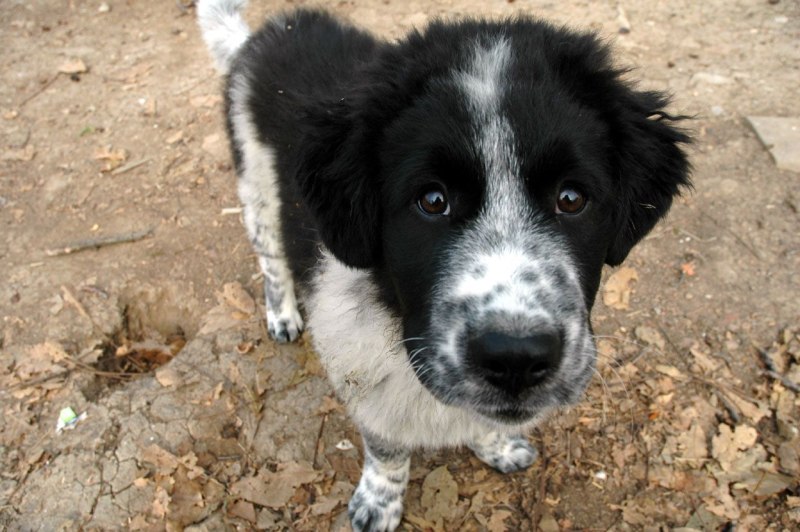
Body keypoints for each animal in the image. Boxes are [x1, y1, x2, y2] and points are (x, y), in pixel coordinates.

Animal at [197, 1, 690, 530]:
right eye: (432, 201)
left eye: (572, 198)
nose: (515, 359)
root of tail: (267, 35)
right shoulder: (365, 379)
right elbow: (387, 447)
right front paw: (379, 501)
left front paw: (495, 446)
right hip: (257, 189)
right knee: (272, 262)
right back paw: (283, 314)